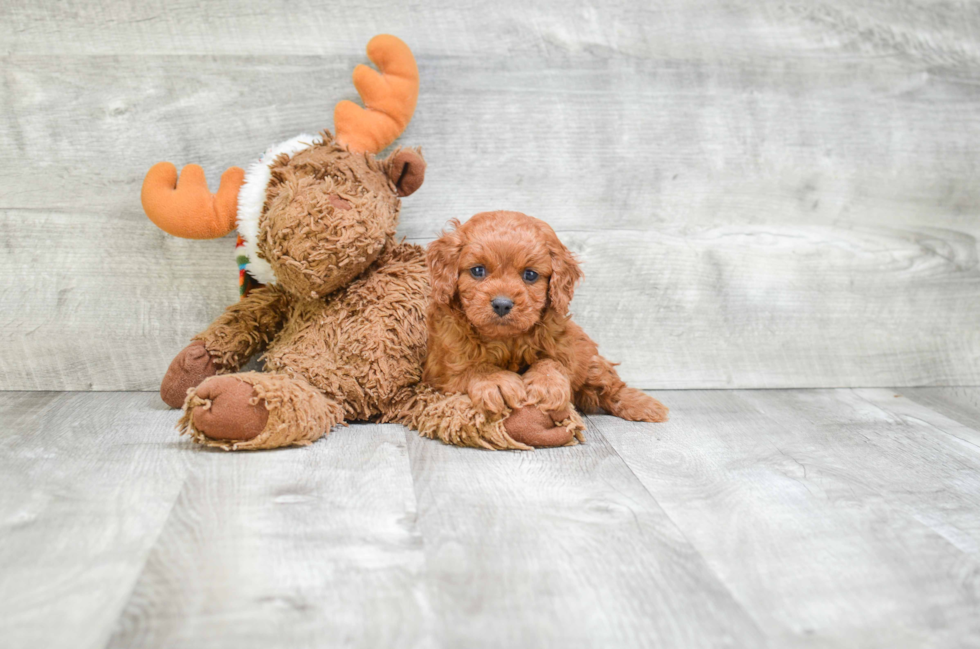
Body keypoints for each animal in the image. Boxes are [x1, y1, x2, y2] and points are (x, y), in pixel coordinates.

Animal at [424, 209, 668, 446]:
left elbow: (552, 363)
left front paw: (547, 384)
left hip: (589, 359)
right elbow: (472, 368)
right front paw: (495, 381)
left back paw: (646, 406)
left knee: (609, 385)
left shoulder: (564, 346)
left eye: (530, 275)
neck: (506, 339)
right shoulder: (445, 369)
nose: (502, 304)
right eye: (477, 271)